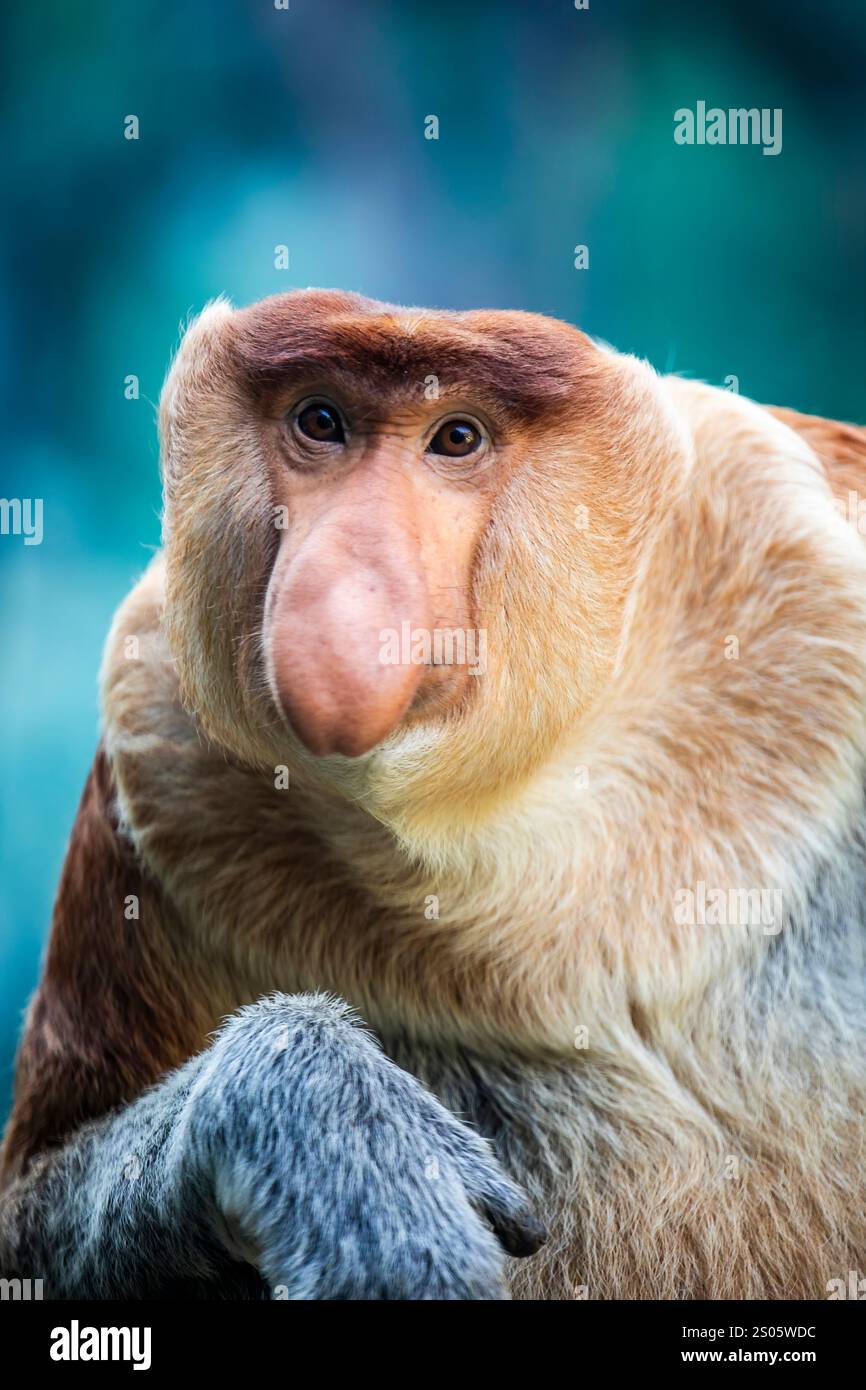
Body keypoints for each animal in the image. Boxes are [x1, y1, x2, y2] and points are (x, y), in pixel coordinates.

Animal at [2, 287, 866, 1299]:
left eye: (456, 437)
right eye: (321, 421)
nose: (351, 583)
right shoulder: (153, 736)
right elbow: (34, 1208)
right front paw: (335, 1136)